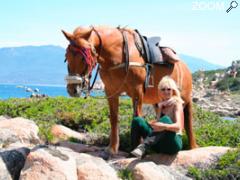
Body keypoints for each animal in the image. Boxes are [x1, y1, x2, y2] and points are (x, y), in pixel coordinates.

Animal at [62, 25, 198, 158]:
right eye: (66, 56)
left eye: (83, 58)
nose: (72, 89)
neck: (117, 56)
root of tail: (184, 66)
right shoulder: (110, 91)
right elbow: (114, 118)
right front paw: (112, 148)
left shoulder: (137, 91)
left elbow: (136, 116)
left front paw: (137, 147)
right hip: (158, 101)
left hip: (185, 99)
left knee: (188, 122)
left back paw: (193, 147)